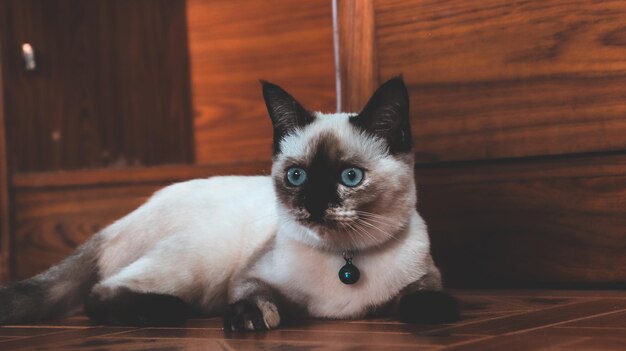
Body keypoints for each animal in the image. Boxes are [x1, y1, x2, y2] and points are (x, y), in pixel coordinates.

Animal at [0, 76, 458, 330]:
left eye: (350, 177)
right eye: (297, 176)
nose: (312, 206)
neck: (346, 260)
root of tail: (119, 222)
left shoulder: (427, 277)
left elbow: (427, 297)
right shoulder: (249, 277)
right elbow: (255, 297)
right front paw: (252, 319)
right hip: (203, 259)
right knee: (99, 293)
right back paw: (168, 311)